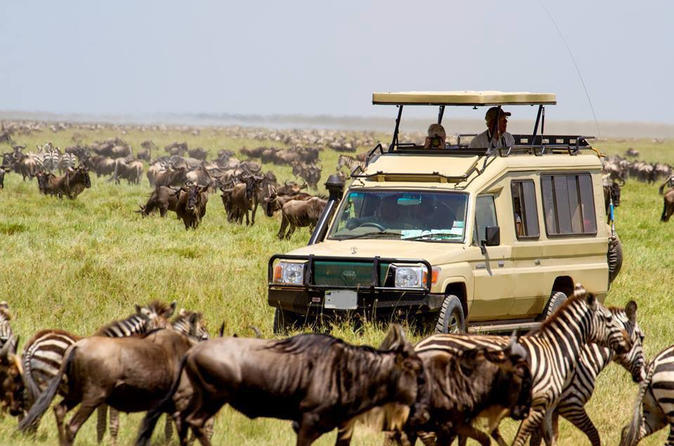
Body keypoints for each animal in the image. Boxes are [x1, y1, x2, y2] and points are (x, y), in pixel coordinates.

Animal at [410, 284, 632, 446]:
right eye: (608, 319)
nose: (628, 342)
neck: (557, 349)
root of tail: (420, 346)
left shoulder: (548, 406)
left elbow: (544, 438)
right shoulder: (554, 403)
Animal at [532, 304, 644, 446]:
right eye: (642, 337)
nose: (644, 372)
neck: (585, 358)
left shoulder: (553, 409)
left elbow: (543, 437)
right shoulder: (570, 404)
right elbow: (593, 434)